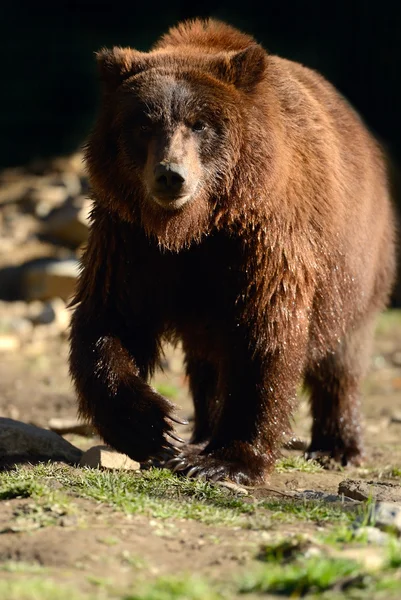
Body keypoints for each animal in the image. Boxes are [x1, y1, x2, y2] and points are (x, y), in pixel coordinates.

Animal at [68, 18, 394, 486]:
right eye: (144, 124)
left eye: (200, 123)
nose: (171, 176)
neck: (194, 228)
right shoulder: (131, 238)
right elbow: (111, 318)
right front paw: (156, 425)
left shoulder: (263, 236)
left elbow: (265, 332)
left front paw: (227, 459)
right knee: (207, 363)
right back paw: (202, 431)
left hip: (356, 266)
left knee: (342, 359)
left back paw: (338, 447)